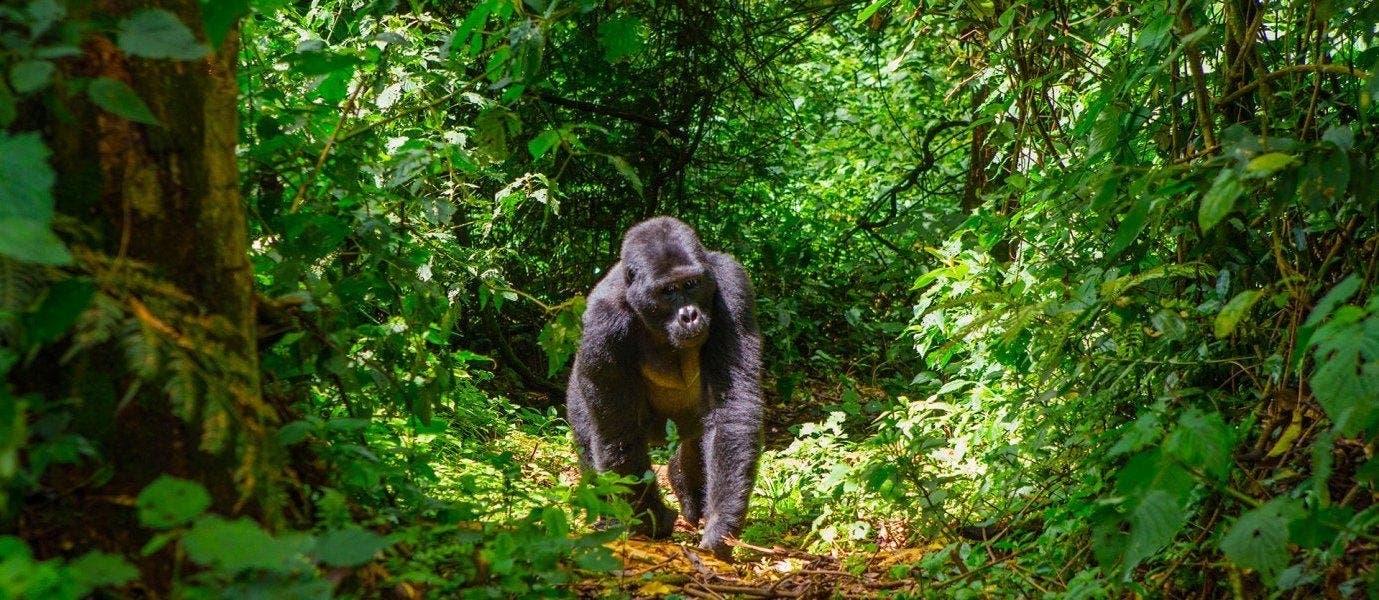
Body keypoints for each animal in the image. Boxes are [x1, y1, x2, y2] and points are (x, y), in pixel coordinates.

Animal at [565, 217, 772, 562]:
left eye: (691, 285)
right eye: (667, 292)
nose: (689, 315)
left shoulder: (733, 286)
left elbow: (731, 407)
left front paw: (721, 524)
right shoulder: (601, 322)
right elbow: (618, 433)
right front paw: (653, 520)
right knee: (591, 438)